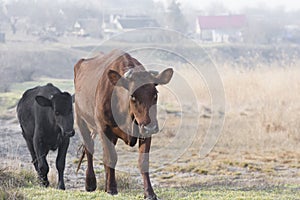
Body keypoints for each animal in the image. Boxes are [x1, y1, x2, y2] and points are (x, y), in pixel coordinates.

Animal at [74, 49, 173, 198]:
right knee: (89, 148)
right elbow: (111, 157)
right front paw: (111, 188)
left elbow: (143, 162)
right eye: (133, 96)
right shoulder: (103, 128)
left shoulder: (144, 131)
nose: (150, 127)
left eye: (155, 94)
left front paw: (149, 192)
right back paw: (90, 183)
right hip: (81, 119)